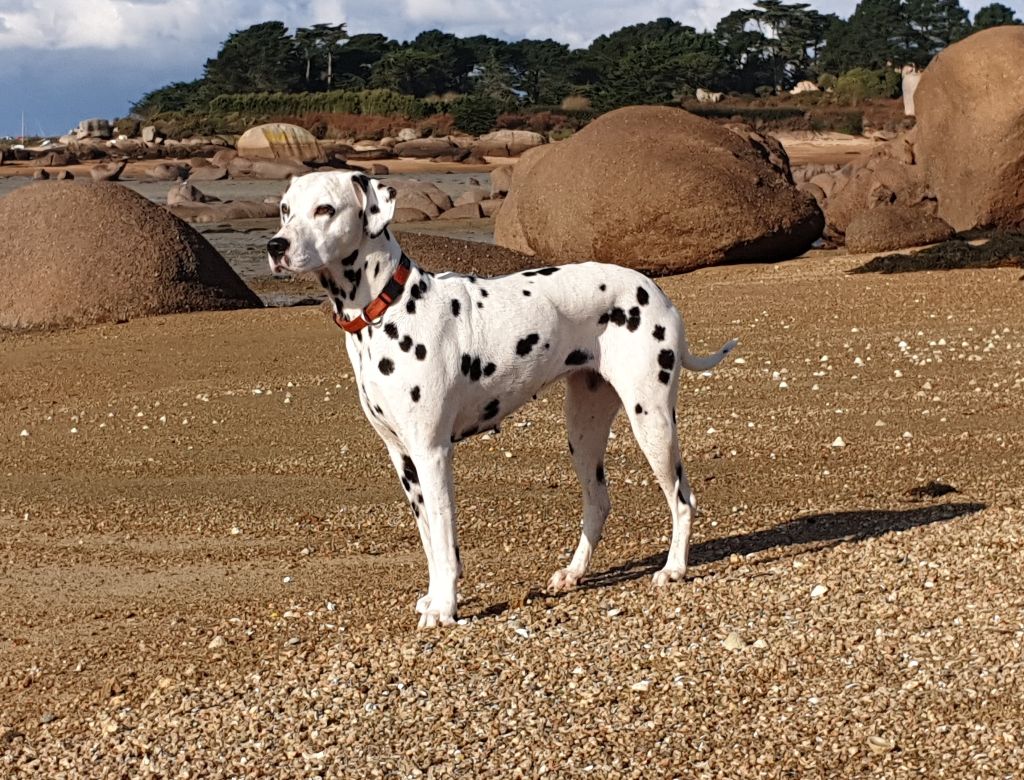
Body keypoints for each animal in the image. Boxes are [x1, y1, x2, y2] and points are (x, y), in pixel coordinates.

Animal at [266, 168, 737, 626]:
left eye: (325, 209)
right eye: (286, 209)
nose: (276, 245)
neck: (388, 308)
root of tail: (655, 291)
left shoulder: (431, 453)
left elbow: (444, 538)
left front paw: (445, 608)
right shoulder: (404, 460)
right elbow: (430, 542)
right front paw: (435, 597)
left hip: (651, 421)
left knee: (682, 499)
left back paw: (674, 568)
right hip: (582, 430)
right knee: (598, 503)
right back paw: (573, 573)